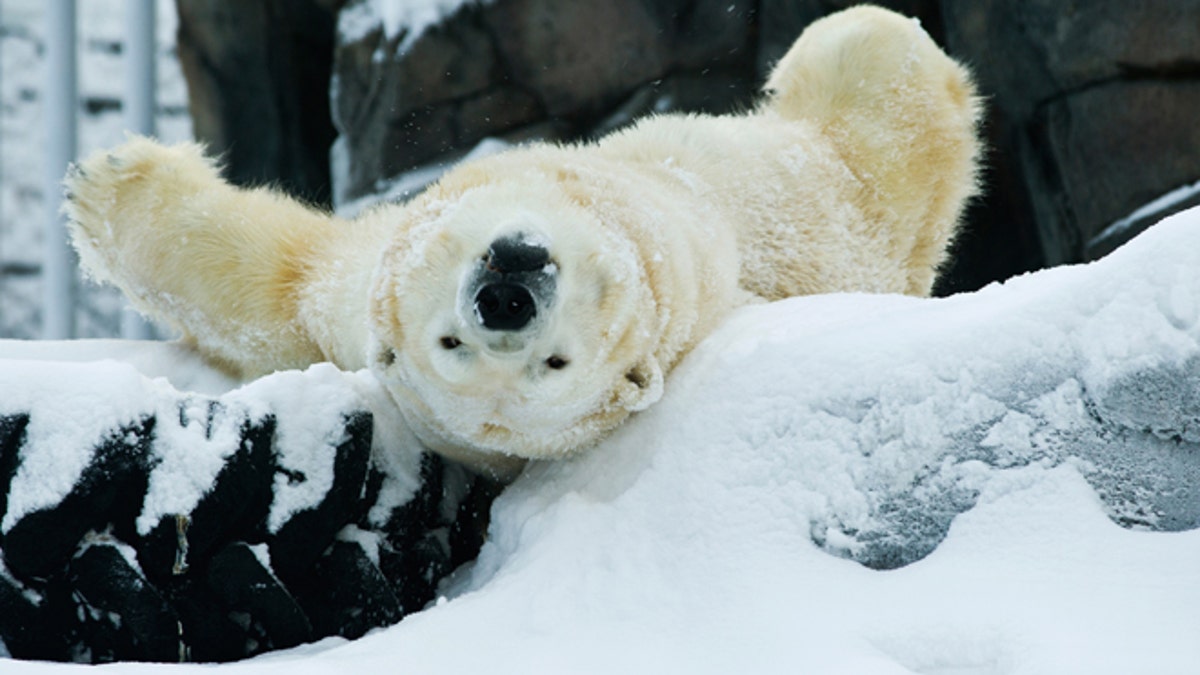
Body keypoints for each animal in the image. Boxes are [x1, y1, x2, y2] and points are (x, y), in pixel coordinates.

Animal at [65, 7, 979, 475]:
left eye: (556, 361)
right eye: (451, 344)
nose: (506, 293)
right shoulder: (360, 306)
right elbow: (275, 286)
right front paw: (101, 180)